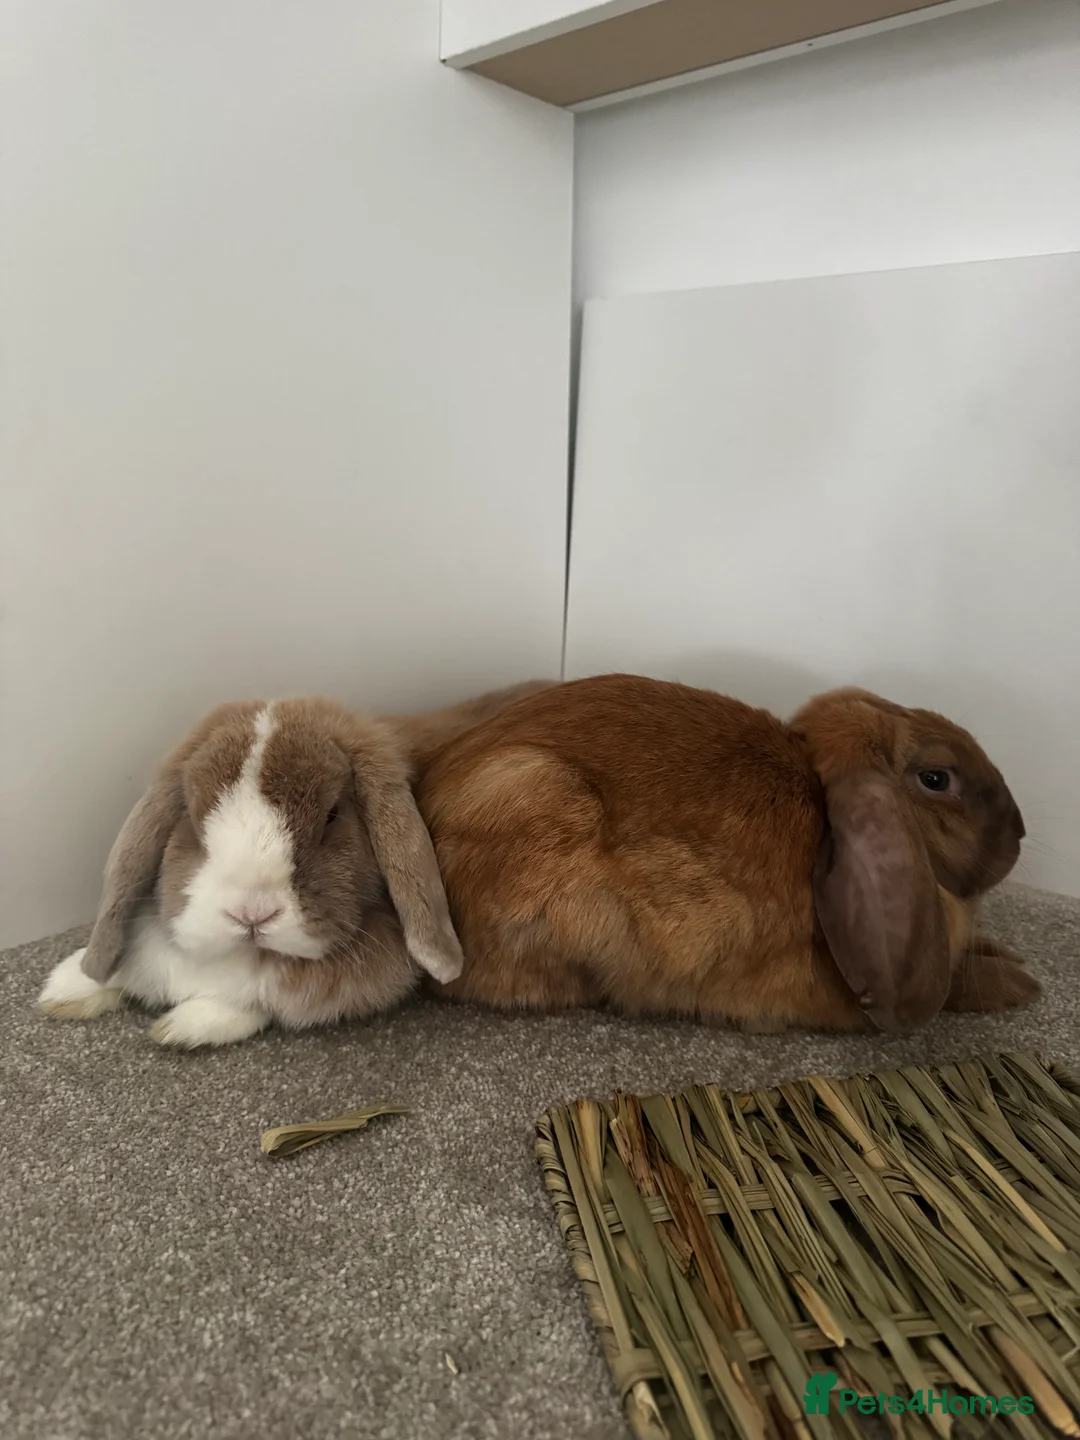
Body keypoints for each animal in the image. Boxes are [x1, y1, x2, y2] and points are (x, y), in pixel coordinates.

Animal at [37, 680, 551, 1047]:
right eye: (193, 817)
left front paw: (182, 1026)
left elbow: (257, 1004)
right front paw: (64, 988)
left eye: (332, 815)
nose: (251, 914)